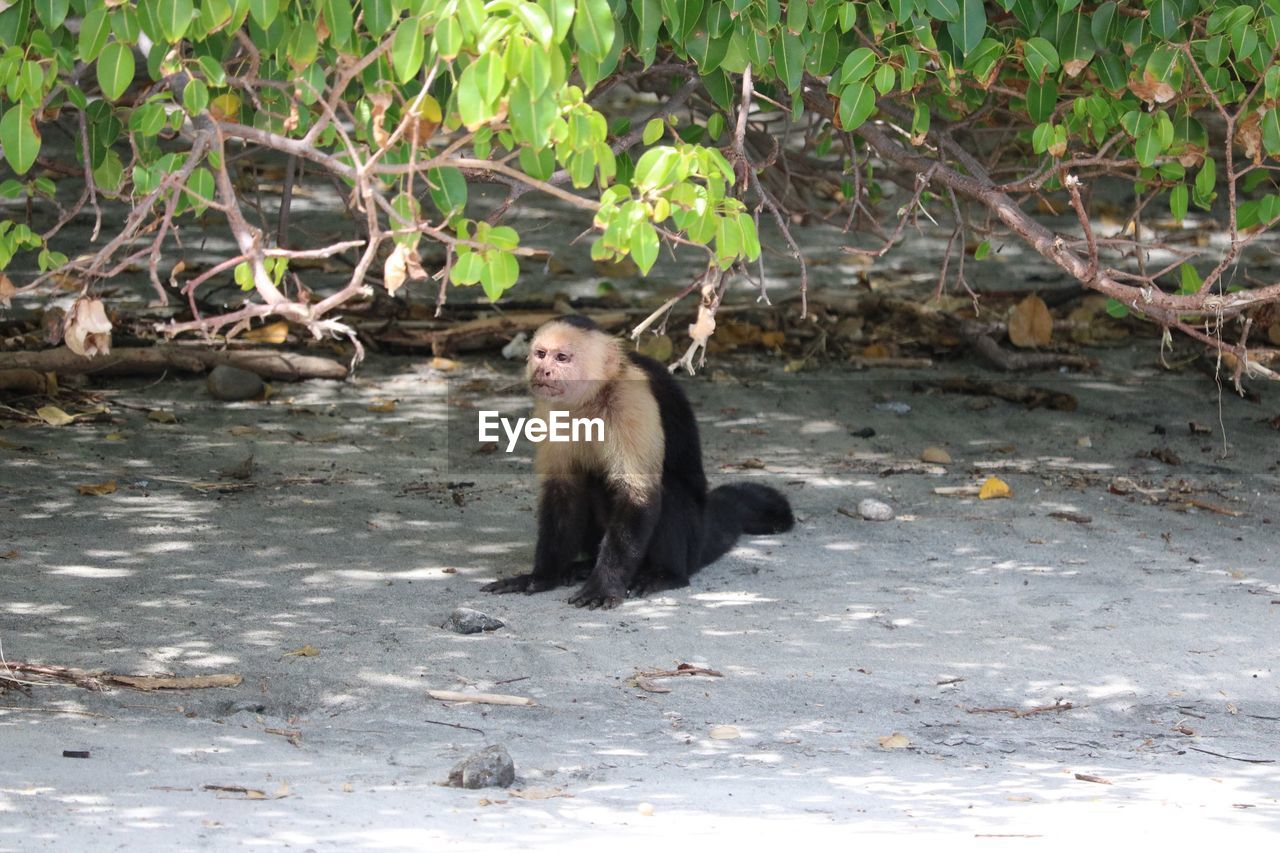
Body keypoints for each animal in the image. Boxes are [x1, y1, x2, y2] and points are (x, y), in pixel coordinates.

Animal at [483, 315, 793, 607]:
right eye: (540, 353)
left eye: (562, 358)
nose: (542, 370)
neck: (592, 398)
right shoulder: (550, 409)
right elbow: (563, 490)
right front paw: (541, 576)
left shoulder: (631, 399)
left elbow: (636, 494)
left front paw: (604, 585)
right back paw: (585, 566)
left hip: (690, 541)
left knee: (669, 489)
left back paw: (665, 575)